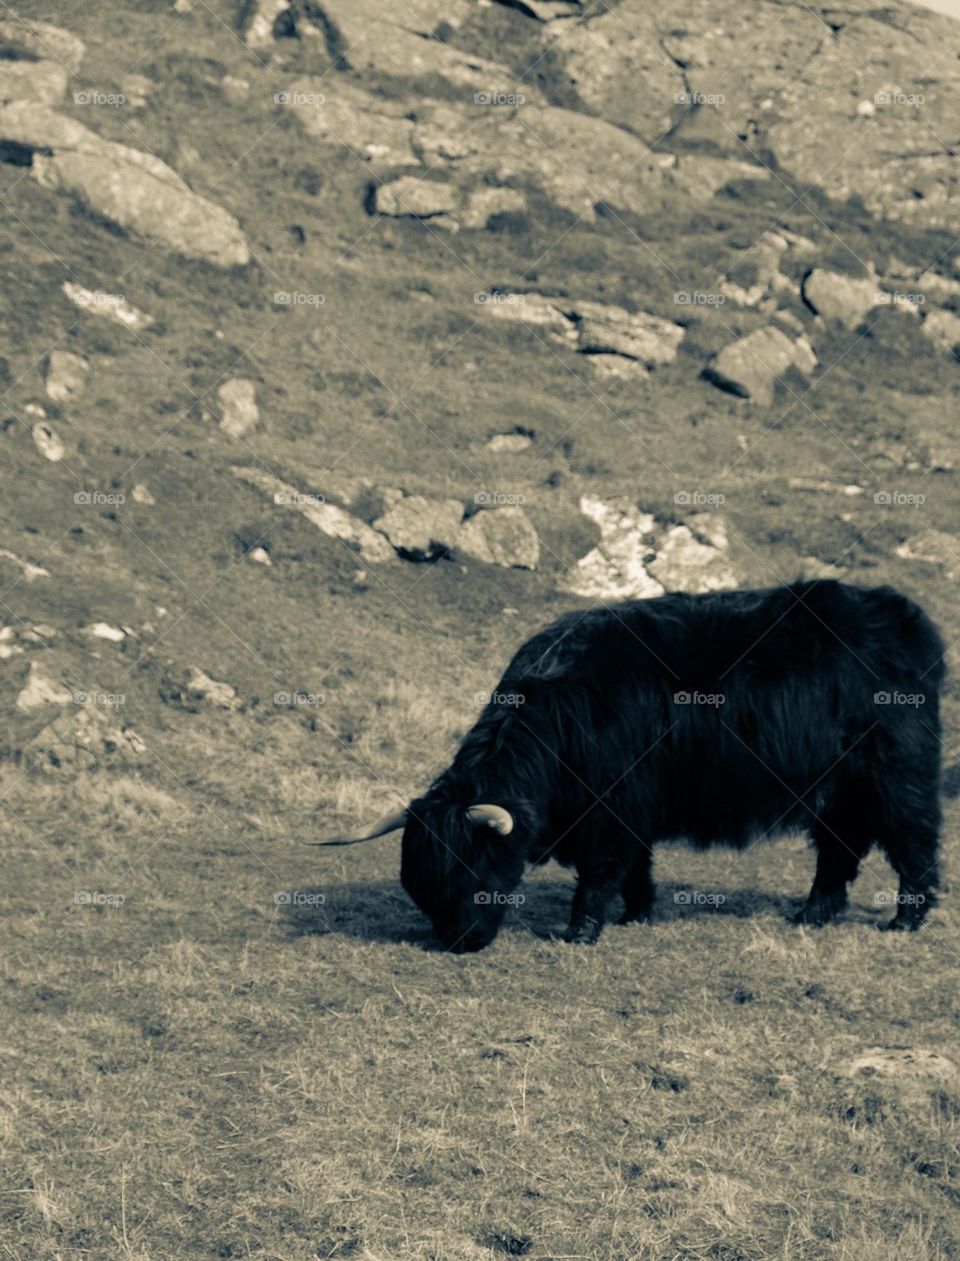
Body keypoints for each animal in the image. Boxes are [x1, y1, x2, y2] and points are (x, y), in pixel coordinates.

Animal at [315, 580, 945, 952]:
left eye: (471, 871)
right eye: (421, 886)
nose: (457, 941)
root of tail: (902, 615)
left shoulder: (610, 810)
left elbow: (602, 871)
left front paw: (579, 931)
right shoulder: (627, 810)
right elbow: (636, 867)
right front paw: (636, 915)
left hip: (895, 773)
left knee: (912, 840)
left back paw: (904, 921)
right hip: (840, 789)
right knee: (839, 848)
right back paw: (811, 915)